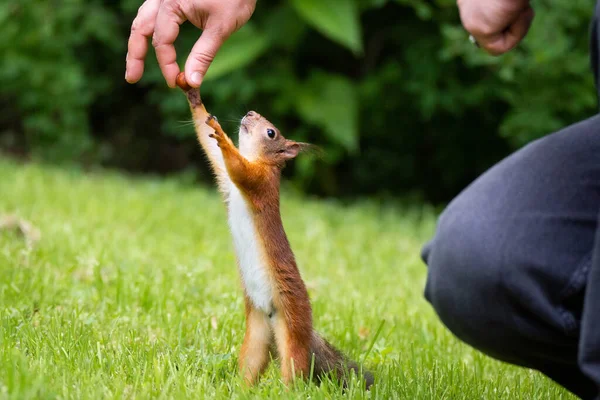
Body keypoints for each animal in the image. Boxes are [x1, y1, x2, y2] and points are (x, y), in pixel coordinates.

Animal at [177, 73, 376, 390]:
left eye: (271, 133)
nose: (250, 113)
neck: (259, 158)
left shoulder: (259, 183)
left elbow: (238, 167)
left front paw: (220, 135)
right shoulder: (227, 182)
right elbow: (212, 150)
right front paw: (195, 98)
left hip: (292, 326)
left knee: (294, 368)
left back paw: (287, 390)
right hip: (257, 334)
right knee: (251, 364)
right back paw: (242, 389)